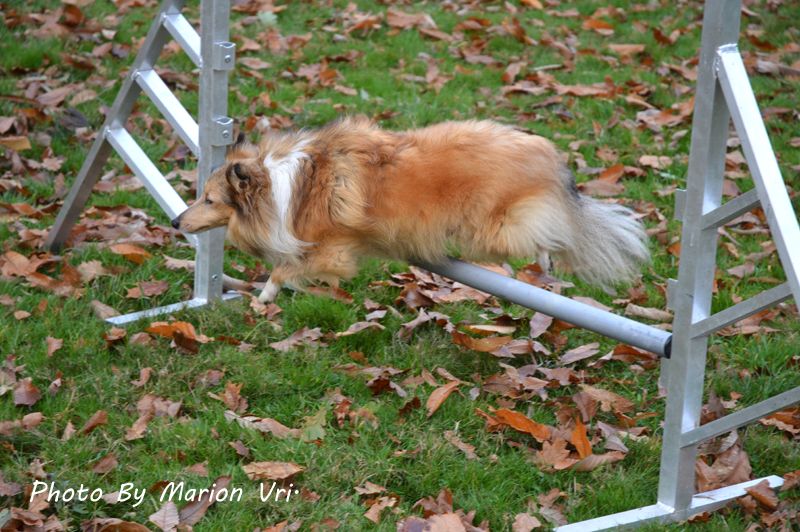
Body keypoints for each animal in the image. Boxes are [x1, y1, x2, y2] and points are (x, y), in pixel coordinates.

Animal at [172, 118, 648, 304]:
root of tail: (550, 154)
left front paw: (264, 297)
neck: (285, 185)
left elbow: (284, 268)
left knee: (549, 233)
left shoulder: (333, 251)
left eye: (209, 200)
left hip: (494, 230)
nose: (176, 222)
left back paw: (548, 257)